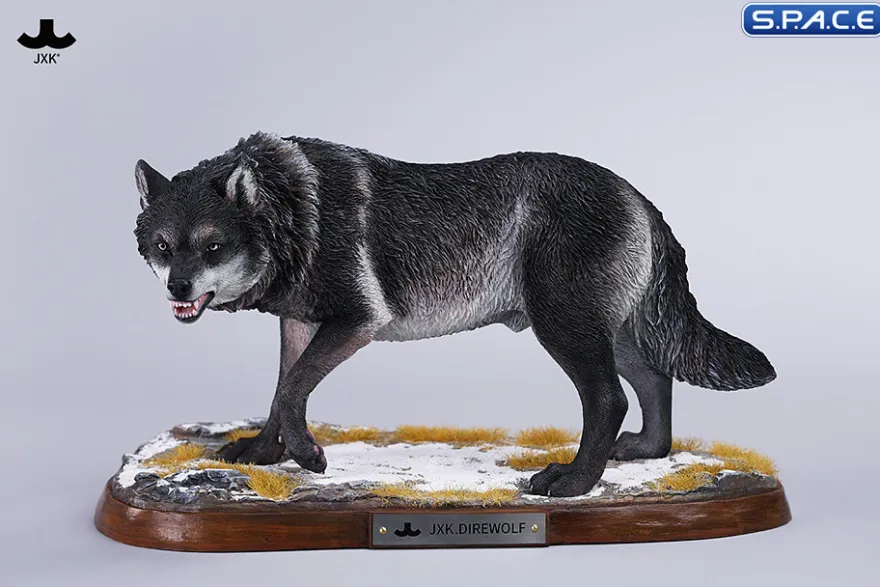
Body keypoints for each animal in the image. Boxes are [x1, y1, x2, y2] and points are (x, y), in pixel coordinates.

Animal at [133, 131, 776, 497]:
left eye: (213, 246)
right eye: (164, 246)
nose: (177, 288)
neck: (292, 209)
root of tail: (639, 197)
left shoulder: (356, 323)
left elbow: (292, 391)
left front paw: (310, 456)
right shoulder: (300, 323)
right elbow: (279, 392)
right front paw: (267, 453)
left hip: (566, 330)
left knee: (609, 400)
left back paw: (573, 483)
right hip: (606, 332)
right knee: (654, 381)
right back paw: (645, 452)